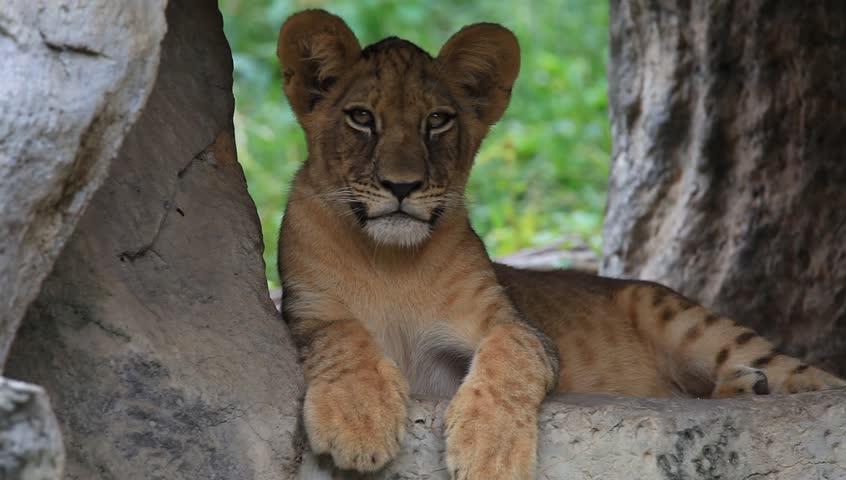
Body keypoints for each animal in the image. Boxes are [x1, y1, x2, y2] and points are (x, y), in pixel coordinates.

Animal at [274, 9, 845, 478]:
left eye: (437, 120)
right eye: (361, 118)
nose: (401, 186)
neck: (391, 261)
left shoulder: (511, 324)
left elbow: (511, 358)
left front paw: (490, 451)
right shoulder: (305, 312)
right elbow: (341, 337)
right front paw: (357, 421)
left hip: (686, 319)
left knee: (813, 377)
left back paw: (757, 385)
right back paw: (745, 387)